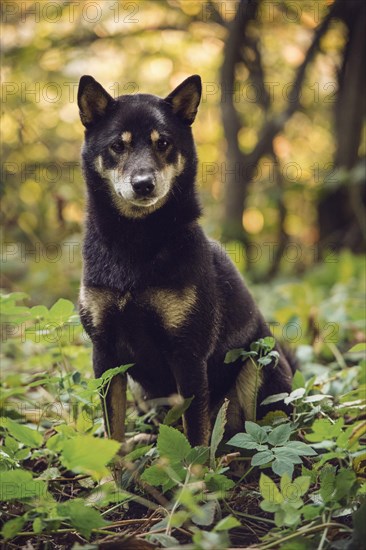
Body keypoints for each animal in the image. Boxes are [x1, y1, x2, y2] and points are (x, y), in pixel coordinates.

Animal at [77, 74, 294, 448]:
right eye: (118, 146)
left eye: (163, 143)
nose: (144, 184)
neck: (136, 242)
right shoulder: (105, 353)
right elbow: (112, 429)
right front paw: (114, 465)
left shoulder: (189, 354)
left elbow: (194, 434)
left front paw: (195, 467)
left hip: (257, 363)